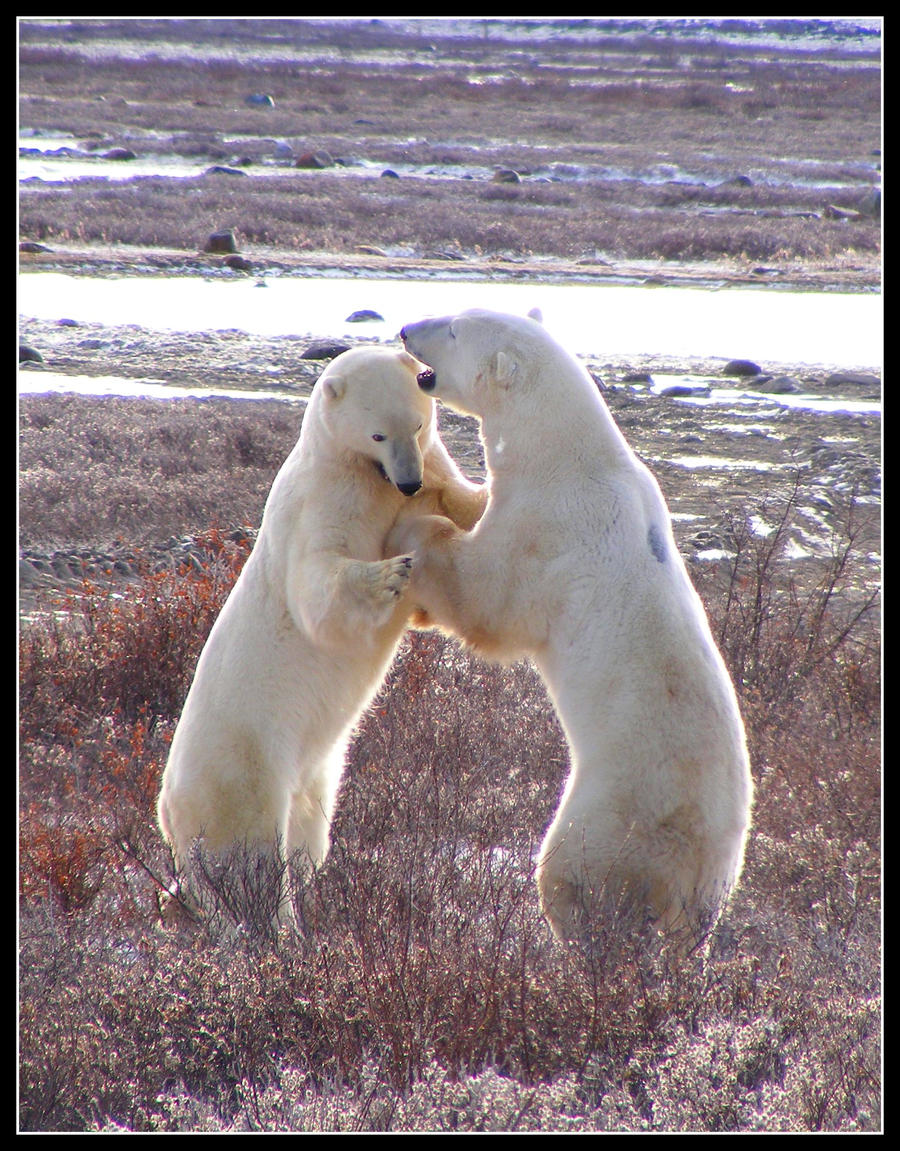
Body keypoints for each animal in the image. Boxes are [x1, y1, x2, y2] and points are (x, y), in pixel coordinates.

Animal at [158, 342, 490, 925]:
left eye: (418, 422)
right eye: (377, 434)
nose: (408, 480)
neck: (364, 474)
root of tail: (164, 810)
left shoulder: (427, 474)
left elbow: (458, 503)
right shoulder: (322, 500)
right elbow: (318, 588)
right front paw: (392, 573)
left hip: (311, 779)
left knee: (307, 842)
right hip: (243, 768)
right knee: (249, 863)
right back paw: (271, 925)